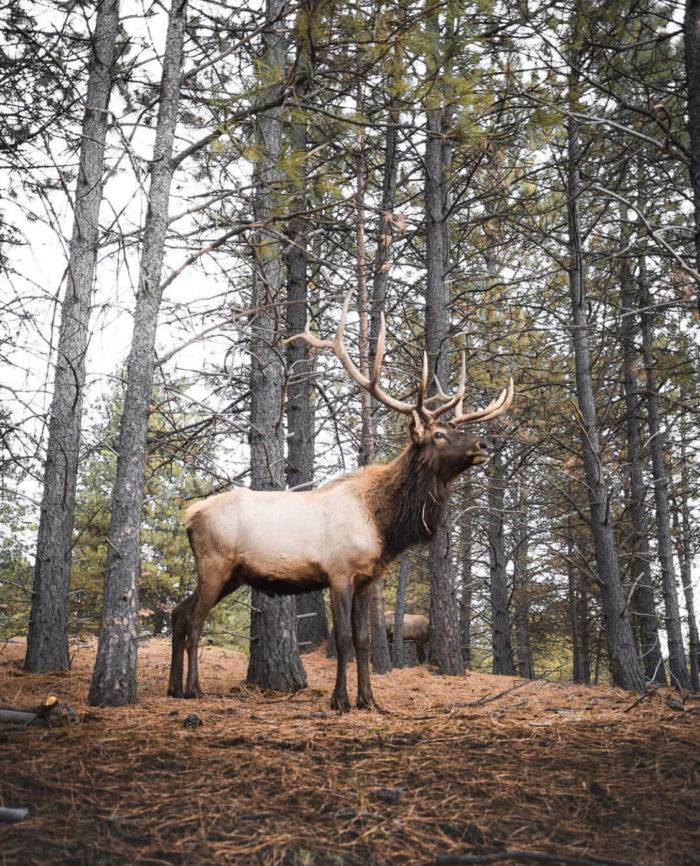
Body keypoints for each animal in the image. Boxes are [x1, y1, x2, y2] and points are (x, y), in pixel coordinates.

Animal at [167, 290, 512, 708]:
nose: (483, 445)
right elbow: (344, 639)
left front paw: (369, 700)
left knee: (178, 614)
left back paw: (173, 687)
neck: (384, 527)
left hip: (231, 574)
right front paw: (340, 700)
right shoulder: (339, 572)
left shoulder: (367, 579)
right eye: (439, 435)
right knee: (194, 621)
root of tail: (190, 514)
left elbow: (364, 641)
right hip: (215, 563)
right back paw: (192, 688)